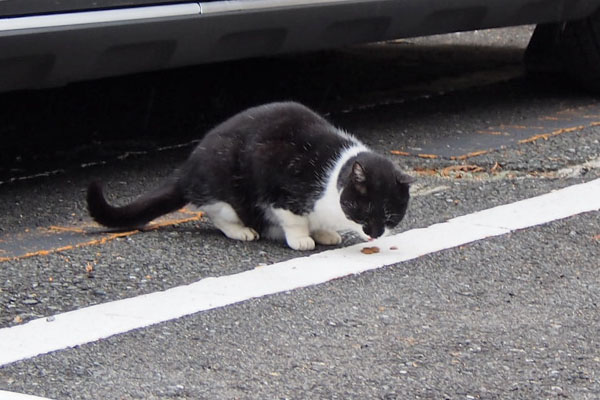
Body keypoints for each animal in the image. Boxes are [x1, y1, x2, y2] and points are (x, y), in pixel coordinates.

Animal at [88, 101, 412, 250]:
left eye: (390, 216)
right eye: (364, 209)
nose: (375, 233)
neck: (332, 178)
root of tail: (186, 170)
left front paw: (322, 233)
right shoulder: (276, 176)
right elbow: (294, 218)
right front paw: (302, 238)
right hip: (224, 180)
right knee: (217, 213)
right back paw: (243, 231)